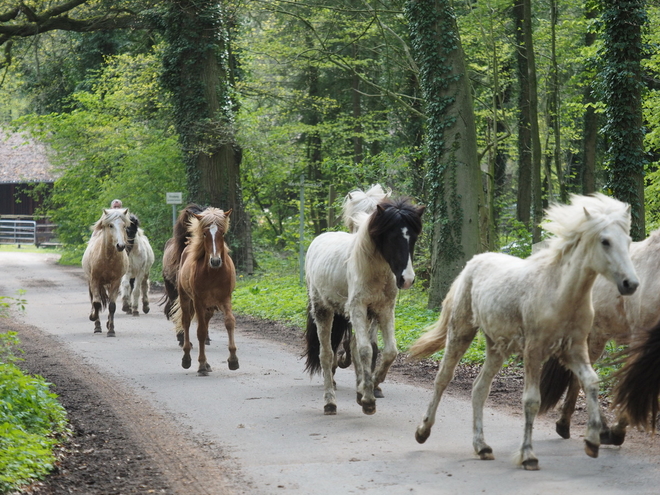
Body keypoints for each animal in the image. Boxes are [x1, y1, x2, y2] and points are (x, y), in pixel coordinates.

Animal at [81, 207, 130, 340]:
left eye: (124, 226)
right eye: (111, 225)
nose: (120, 246)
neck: (108, 258)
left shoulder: (115, 282)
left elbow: (112, 306)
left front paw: (111, 330)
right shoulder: (94, 281)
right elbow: (96, 303)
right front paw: (93, 319)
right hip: (93, 283)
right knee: (94, 301)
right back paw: (97, 325)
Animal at [173, 208, 237, 376]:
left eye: (222, 233)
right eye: (204, 234)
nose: (215, 261)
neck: (213, 273)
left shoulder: (225, 299)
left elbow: (229, 322)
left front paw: (233, 360)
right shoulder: (198, 301)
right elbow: (200, 332)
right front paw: (201, 364)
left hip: (209, 306)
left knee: (206, 322)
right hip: (186, 299)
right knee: (187, 323)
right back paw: (187, 359)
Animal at [302, 196, 422, 416]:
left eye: (414, 238)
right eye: (392, 237)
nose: (407, 279)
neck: (374, 271)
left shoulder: (384, 310)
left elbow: (389, 351)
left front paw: (372, 385)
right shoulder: (357, 308)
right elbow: (365, 350)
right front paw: (367, 399)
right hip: (323, 310)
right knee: (326, 354)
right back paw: (330, 402)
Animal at [408, 194, 640, 468]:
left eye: (628, 241)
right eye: (605, 241)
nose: (630, 284)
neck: (560, 294)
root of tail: (472, 262)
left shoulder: (574, 350)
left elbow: (591, 382)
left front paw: (593, 442)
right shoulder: (534, 351)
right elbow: (531, 401)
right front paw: (528, 455)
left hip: (496, 347)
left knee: (479, 388)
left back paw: (482, 446)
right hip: (461, 332)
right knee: (443, 378)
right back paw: (423, 431)